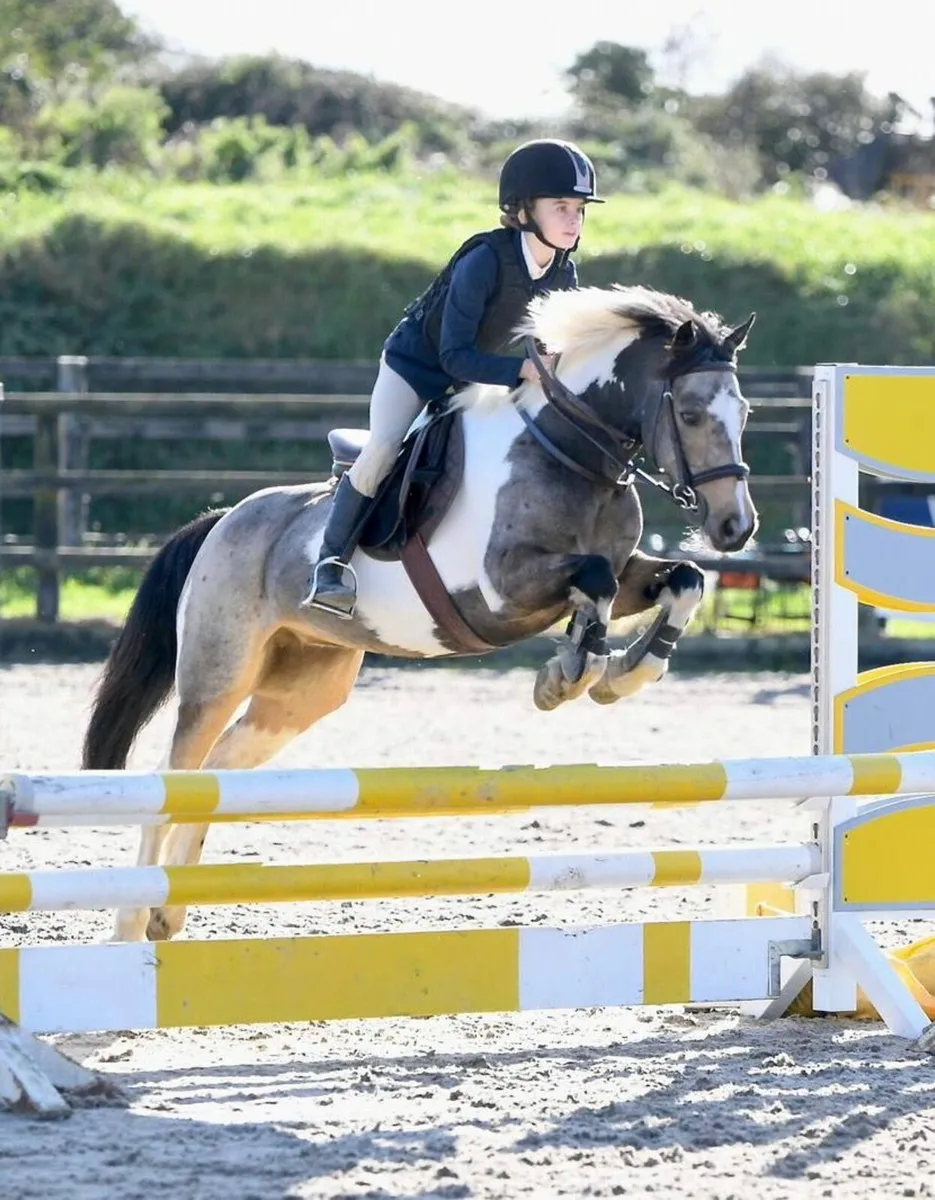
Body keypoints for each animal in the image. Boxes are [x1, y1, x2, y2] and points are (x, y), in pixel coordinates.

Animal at [82, 283, 759, 943]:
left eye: (744, 413)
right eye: (690, 413)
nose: (736, 527)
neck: (568, 454)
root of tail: (224, 520)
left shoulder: (620, 570)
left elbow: (681, 581)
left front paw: (622, 672)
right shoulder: (500, 591)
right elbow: (591, 579)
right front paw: (567, 675)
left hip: (302, 690)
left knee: (219, 773)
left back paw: (169, 914)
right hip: (218, 674)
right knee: (176, 773)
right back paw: (131, 922)